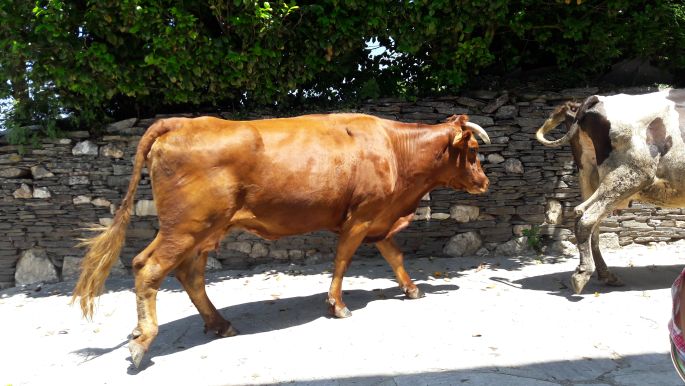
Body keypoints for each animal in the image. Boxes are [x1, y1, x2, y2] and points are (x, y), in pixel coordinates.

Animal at [71, 112, 492, 368]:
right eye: (472, 151)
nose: (485, 182)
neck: (393, 148)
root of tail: (182, 123)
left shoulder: (378, 218)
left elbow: (395, 256)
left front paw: (411, 289)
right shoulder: (362, 216)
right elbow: (343, 260)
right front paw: (337, 305)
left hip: (205, 230)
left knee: (190, 275)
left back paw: (219, 324)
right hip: (186, 226)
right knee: (148, 267)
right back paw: (142, 341)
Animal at [536, 89, 684, 292]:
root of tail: (597, 99)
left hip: (589, 175)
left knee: (585, 218)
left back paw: (606, 275)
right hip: (632, 174)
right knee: (586, 218)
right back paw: (582, 274)